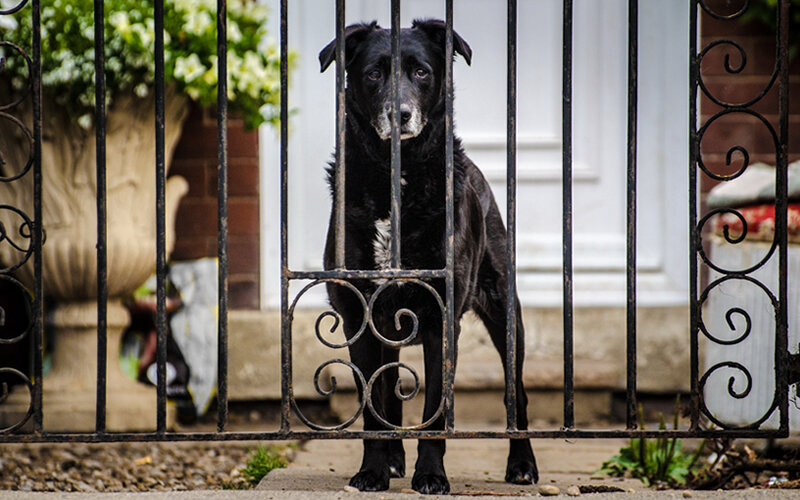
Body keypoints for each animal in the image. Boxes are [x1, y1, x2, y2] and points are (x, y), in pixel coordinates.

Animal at [318, 18, 536, 492]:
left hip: (506, 316)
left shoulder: (441, 321)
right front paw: (373, 471)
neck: (396, 180)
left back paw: (523, 463)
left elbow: (435, 408)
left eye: (421, 72)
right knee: (391, 390)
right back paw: (393, 461)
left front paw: (432, 475)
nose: (399, 114)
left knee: (517, 393)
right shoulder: (360, 319)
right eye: (373, 74)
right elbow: (376, 407)